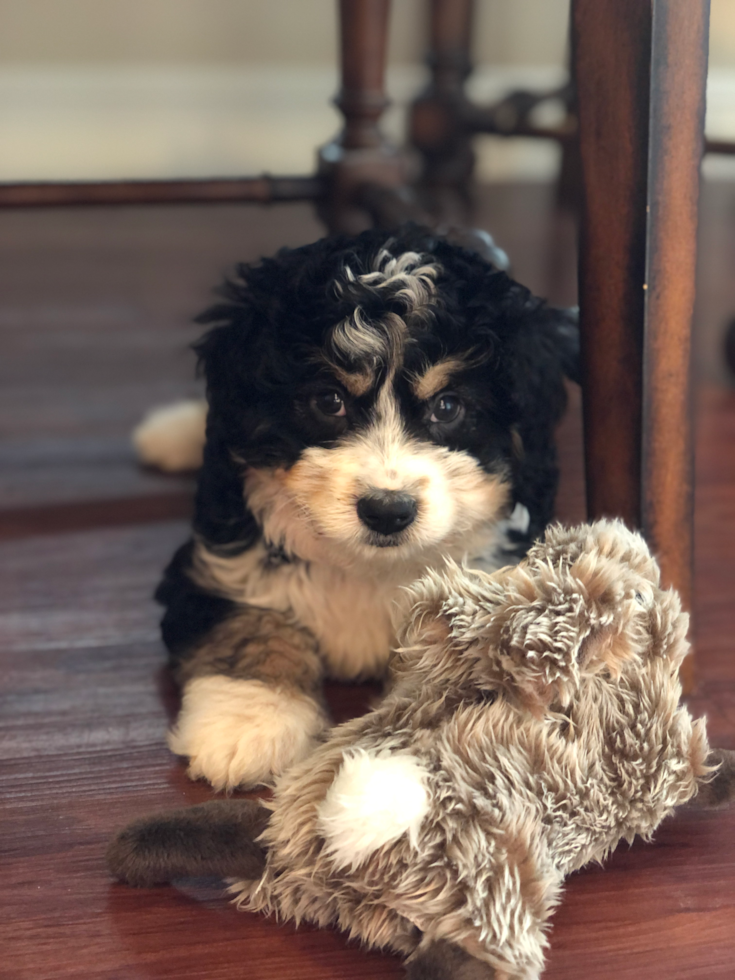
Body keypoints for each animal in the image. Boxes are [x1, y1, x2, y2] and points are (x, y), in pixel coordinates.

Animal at [144, 226, 580, 792]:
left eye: (448, 407)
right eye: (329, 401)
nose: (387, 512)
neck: (368, 564)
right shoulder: (217, 565)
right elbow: (249, 627)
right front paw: (249, 724)